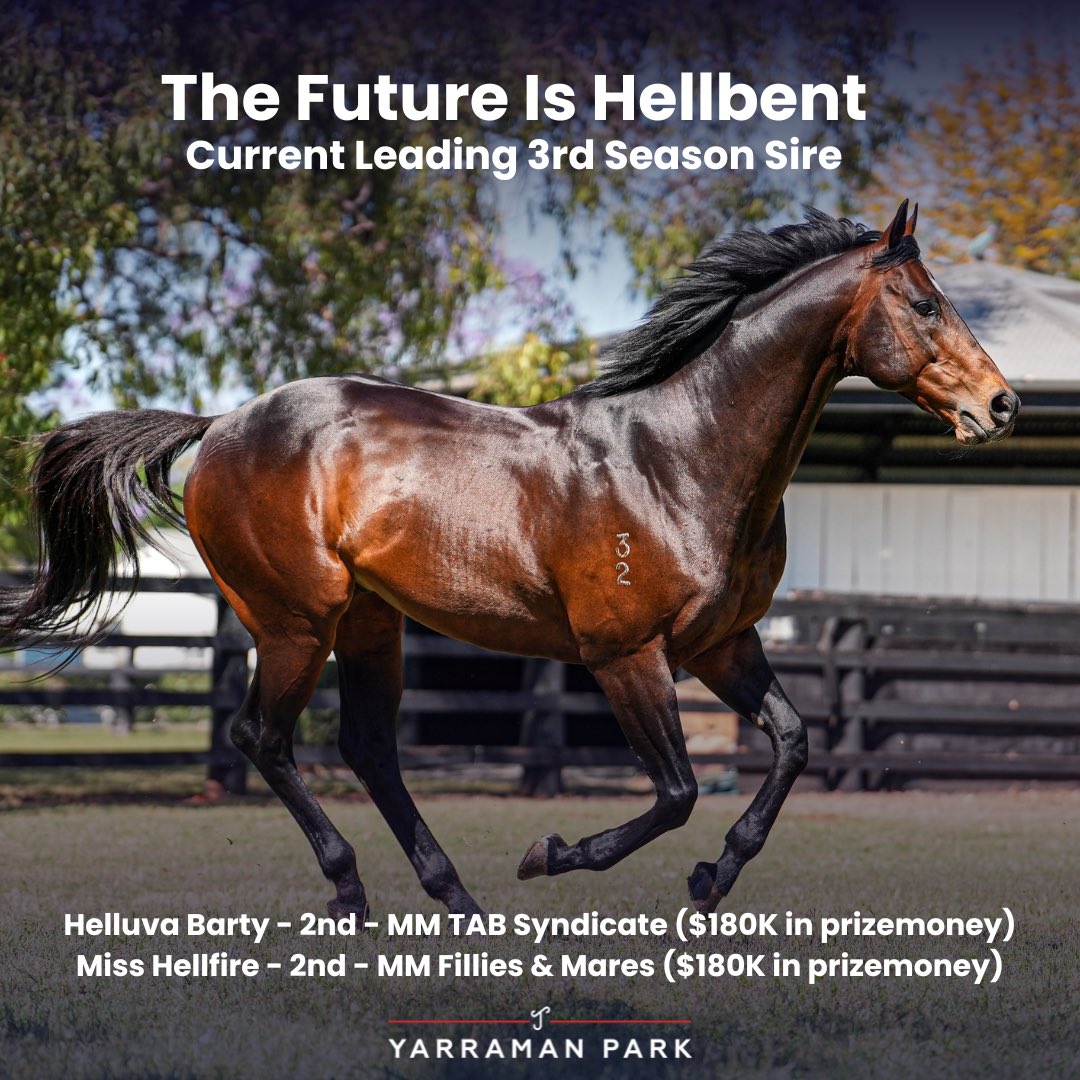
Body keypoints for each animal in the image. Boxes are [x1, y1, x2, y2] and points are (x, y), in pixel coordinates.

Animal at [0, 201, 1018, 919]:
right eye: (924, 303)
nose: (1001, 406)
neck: (678, 456)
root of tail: (218, 426)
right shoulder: (627, 657)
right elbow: (676, 791)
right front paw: (553, 854)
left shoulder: (721, 645)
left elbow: (794, 742)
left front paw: (713, 876)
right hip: (295, 621)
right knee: (266, 739)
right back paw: (352, 890)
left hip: (369, 623)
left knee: (368, 748)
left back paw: (456, 899)